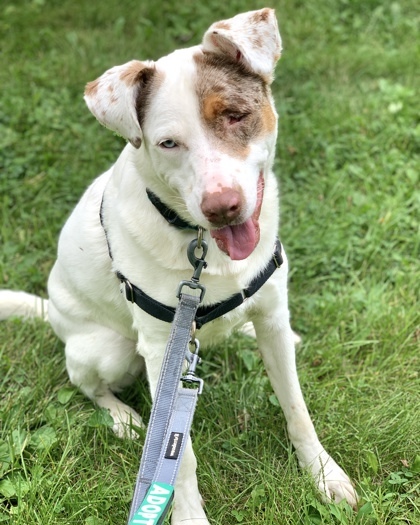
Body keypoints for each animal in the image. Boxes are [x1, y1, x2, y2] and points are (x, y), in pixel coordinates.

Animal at [1, 9, 360, 524]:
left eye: (235, 115)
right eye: (168, 143)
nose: (223, 208)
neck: (204, 248)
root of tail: (51, 311)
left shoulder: (272, 313)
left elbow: (296, 407)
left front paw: (323, 474)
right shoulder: (159, 351)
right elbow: (179, 451)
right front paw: (186, 514)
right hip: (108, 351)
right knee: (86, 384)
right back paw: (123, 418)